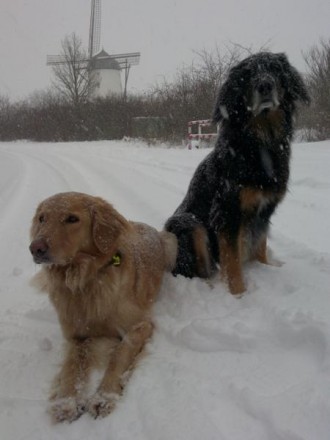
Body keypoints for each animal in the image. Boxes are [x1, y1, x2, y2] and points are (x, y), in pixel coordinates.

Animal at [166, 51, 310, 294]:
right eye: (247, 75)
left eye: (275, 68)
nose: (265, 85)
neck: (261, 142)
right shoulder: (227, 211)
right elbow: (232, 261)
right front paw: (239, 294)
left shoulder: (264, 210)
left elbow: (260, 245)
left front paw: (264, 267)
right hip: (187, 223)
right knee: (198, 271)